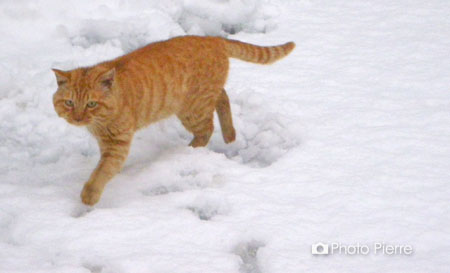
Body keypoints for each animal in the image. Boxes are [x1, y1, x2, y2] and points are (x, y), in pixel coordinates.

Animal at [51, 35, 296, 204]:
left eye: (91, 104)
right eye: (69, 103)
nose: (78, 118)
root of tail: (212, 38)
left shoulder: (117, 144)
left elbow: (102, 171)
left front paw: (89, 195)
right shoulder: (107, 143)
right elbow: (103, 168)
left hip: (192, 110)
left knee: (207, 128)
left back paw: (191, 149)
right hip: (200, 102)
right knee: (223, 97)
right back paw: (229, 135)